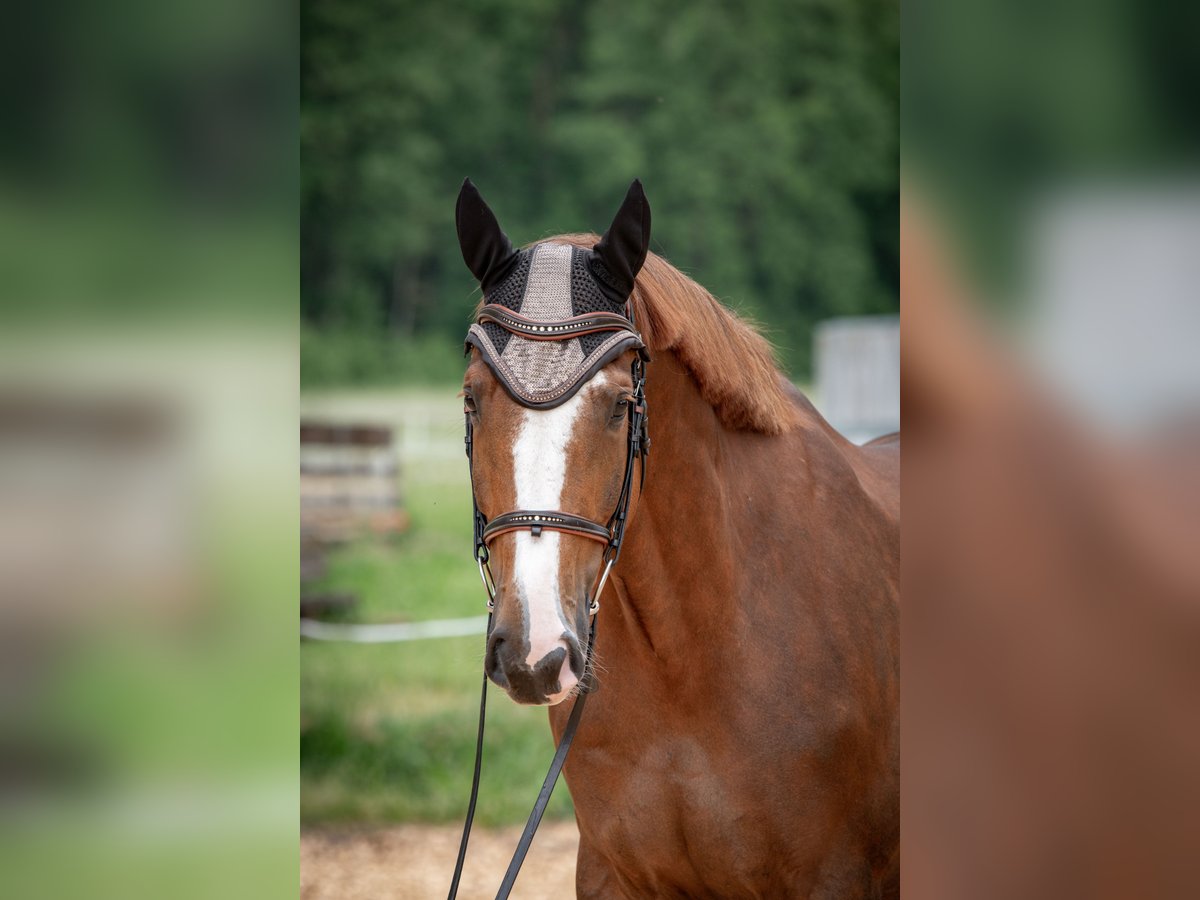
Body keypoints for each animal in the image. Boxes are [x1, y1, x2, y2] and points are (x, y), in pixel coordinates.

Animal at [458, 180, 902, 897]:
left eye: (620, 406)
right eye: (472, 400)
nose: (534, 652)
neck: (692, 657)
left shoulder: (832, 878)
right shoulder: (612, 875)